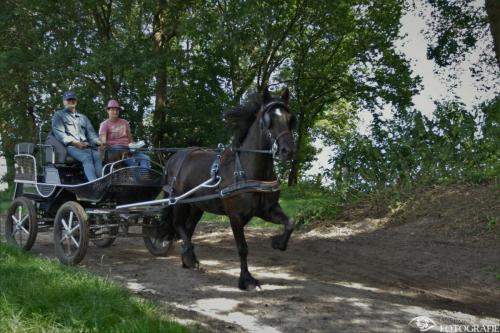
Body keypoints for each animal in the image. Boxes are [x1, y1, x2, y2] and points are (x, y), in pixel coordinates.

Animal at [163, 87, 296, 290]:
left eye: (290, 118)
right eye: (269, 120)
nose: (288, 151)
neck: (249, 172)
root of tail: (174, 156)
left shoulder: (267, 210)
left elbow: (290, 222)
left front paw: (277, 243)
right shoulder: (235, 216)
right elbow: (242, 248)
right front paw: (246, 279)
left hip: (197, 206)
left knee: (188, 227)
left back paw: (187, 258)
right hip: (179, 201)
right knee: (178, 224)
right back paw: (189, 257)